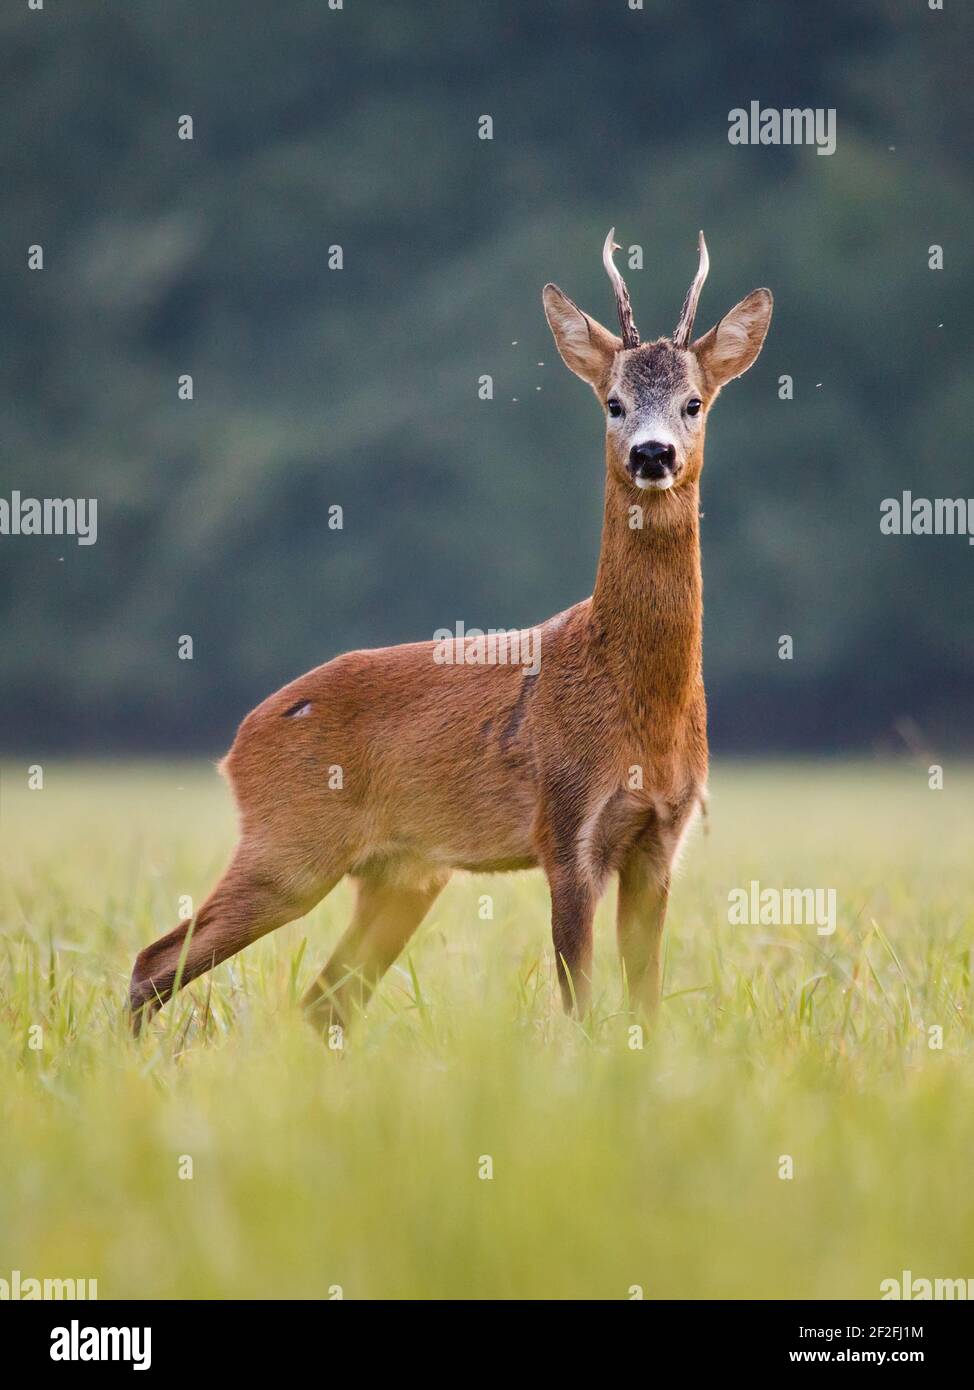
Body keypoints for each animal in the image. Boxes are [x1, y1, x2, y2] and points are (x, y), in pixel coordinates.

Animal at [129, 227, 772, 1034]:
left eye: (693, 402)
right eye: (614, 402)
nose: (652, 454)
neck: (640, 705)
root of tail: (237, 745)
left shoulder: (662, 838)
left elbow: (645, 1005)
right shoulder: (566, 828)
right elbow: (579, 1003)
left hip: (401, 874)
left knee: (320, 1002)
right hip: (290, 846)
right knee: (155, 961)